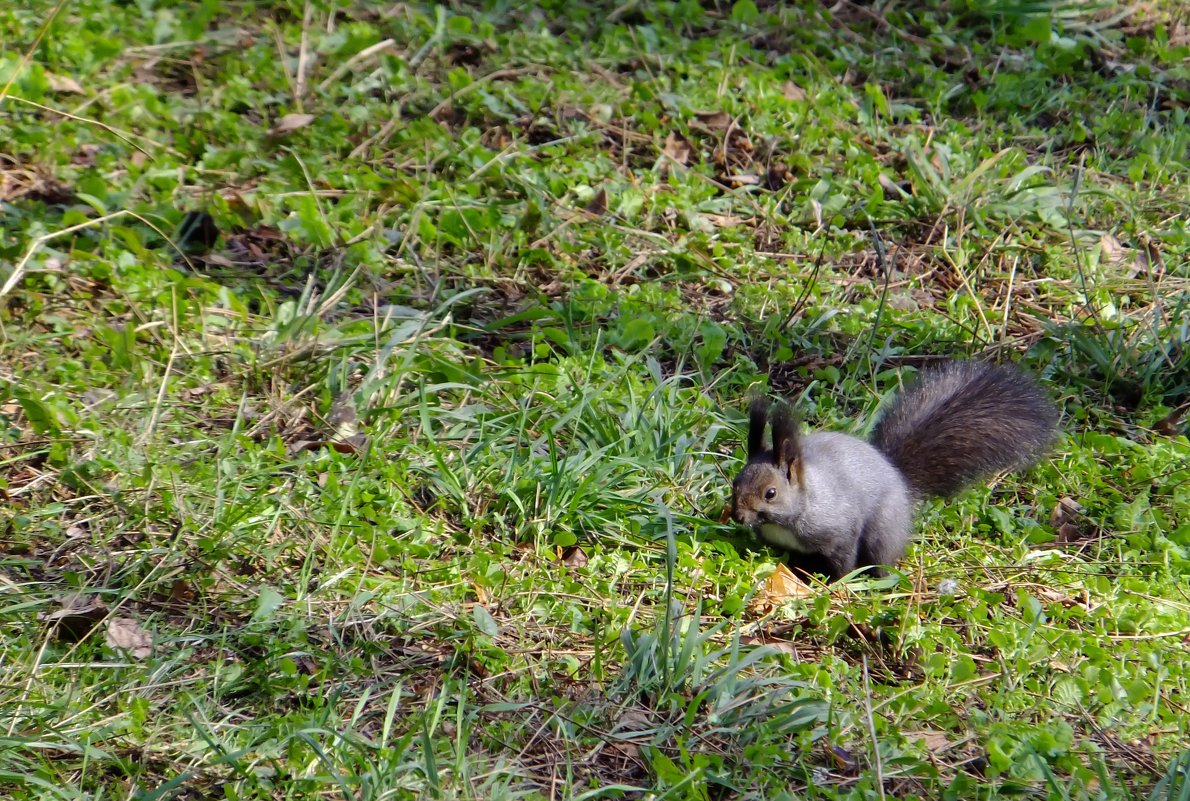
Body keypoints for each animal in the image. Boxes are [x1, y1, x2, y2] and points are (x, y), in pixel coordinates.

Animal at [733, 359, 1061, 578]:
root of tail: (896, 474)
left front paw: (837, 583)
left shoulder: (840, 531)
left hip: (883, 529)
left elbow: (844, 561)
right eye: (735, 483)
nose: (738, 516)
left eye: (771, 493)